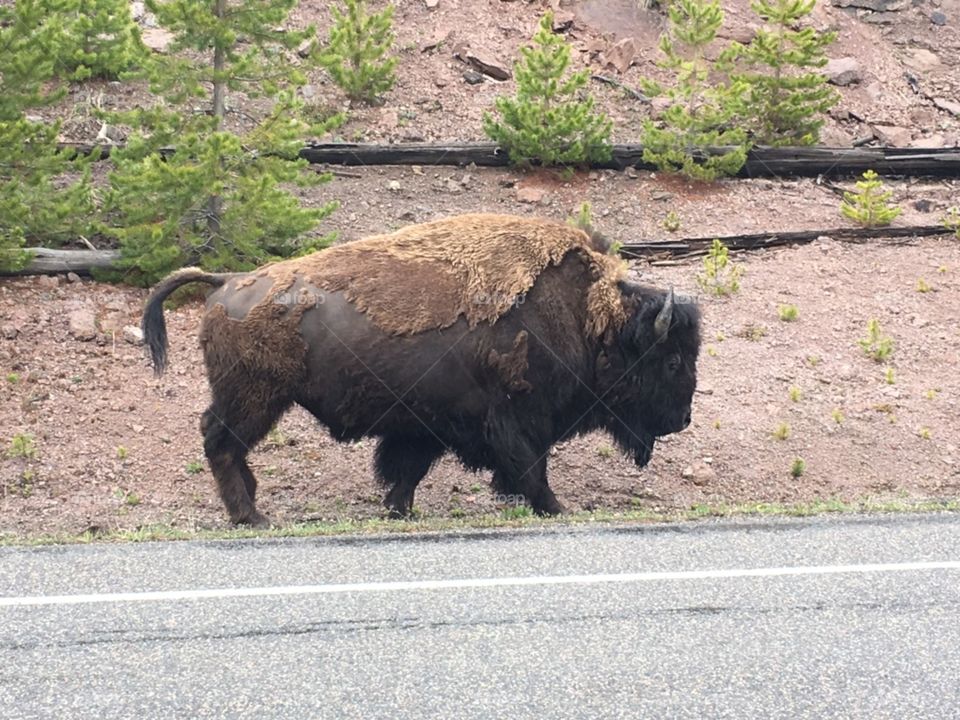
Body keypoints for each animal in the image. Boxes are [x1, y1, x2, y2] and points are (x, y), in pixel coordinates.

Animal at [142, 213, 701, 525]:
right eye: (672, 359)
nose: (682, 420)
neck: (589, 316)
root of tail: (225, 281)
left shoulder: (426, 425)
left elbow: (407, 469)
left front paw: (398, 510)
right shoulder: (517, 420)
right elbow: (530, 468)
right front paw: (557, 508)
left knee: (226, 446)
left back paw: (253, 508)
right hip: (256, 399)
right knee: (221, 443)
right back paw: (253, 517)